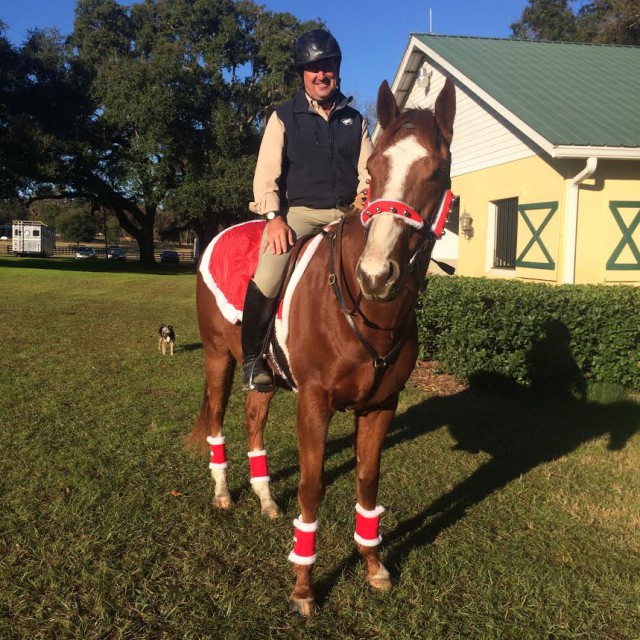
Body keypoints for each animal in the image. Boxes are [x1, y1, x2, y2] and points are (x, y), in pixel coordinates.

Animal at [188, 80, 458, 616]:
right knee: (216, 419)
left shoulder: (380, 405)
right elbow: (312, 488)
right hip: (217, 359)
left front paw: (373, 565)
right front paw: (303, 585)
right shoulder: (314, 403)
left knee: (253, 418)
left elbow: (368, 481)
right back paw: (224, 492)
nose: (377, 276)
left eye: (437, 172)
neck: (362, 307)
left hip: (262, 374)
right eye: (374, 171)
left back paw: (265, 497)